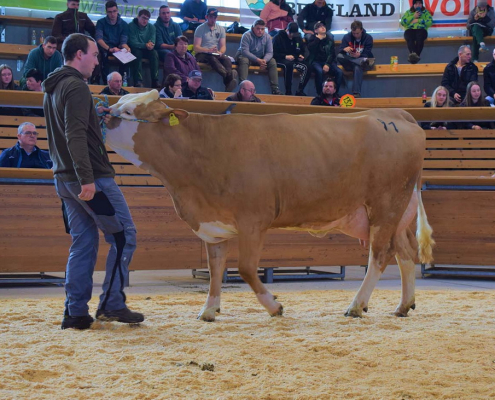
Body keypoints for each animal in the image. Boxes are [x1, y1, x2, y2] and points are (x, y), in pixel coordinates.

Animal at [105, 90, 434, 322]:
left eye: (129, 110)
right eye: (119, 101)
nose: (105, 114)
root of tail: (394, 113)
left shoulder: (253, 220)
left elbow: (247, 269)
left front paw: (274, 306)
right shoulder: (214, 225)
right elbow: (215, 269)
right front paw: (209, 310)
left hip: (385, 204)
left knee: (379, 255)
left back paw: (356, 305)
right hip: (395, 213)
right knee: (405, 253)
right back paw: (403, 305)